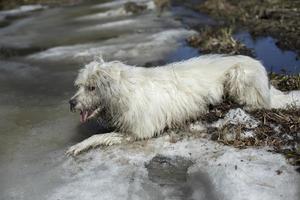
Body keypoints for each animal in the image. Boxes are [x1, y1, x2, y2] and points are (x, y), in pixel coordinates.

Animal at [66, 55, 300, 156]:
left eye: (92, 87)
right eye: (80, 86)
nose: (71, 103)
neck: (124, 92)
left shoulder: (139, 131)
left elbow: (100, 137)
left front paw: (80, 145)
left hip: (239, 76)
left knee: (258, 103)